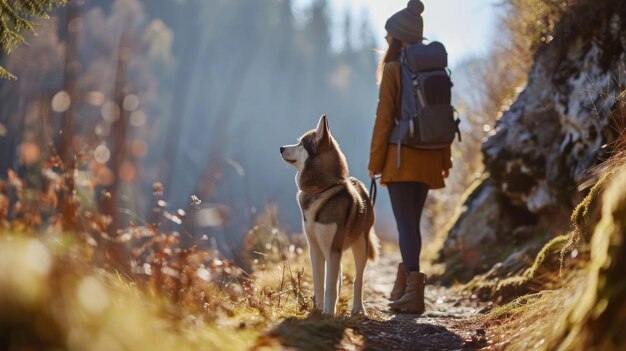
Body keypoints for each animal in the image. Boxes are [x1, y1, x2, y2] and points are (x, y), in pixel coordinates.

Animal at [280, 115, 378, 316]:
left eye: (301, 144)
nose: (280, 148)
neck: (322, 190)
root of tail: (361, 186)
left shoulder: (332, 249)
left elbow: (330, 287)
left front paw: (328, 314)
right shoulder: (315, 248)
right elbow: (320, 283)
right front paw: (317, 310)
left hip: (360, 246)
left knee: (358, 280)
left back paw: (358, 308)